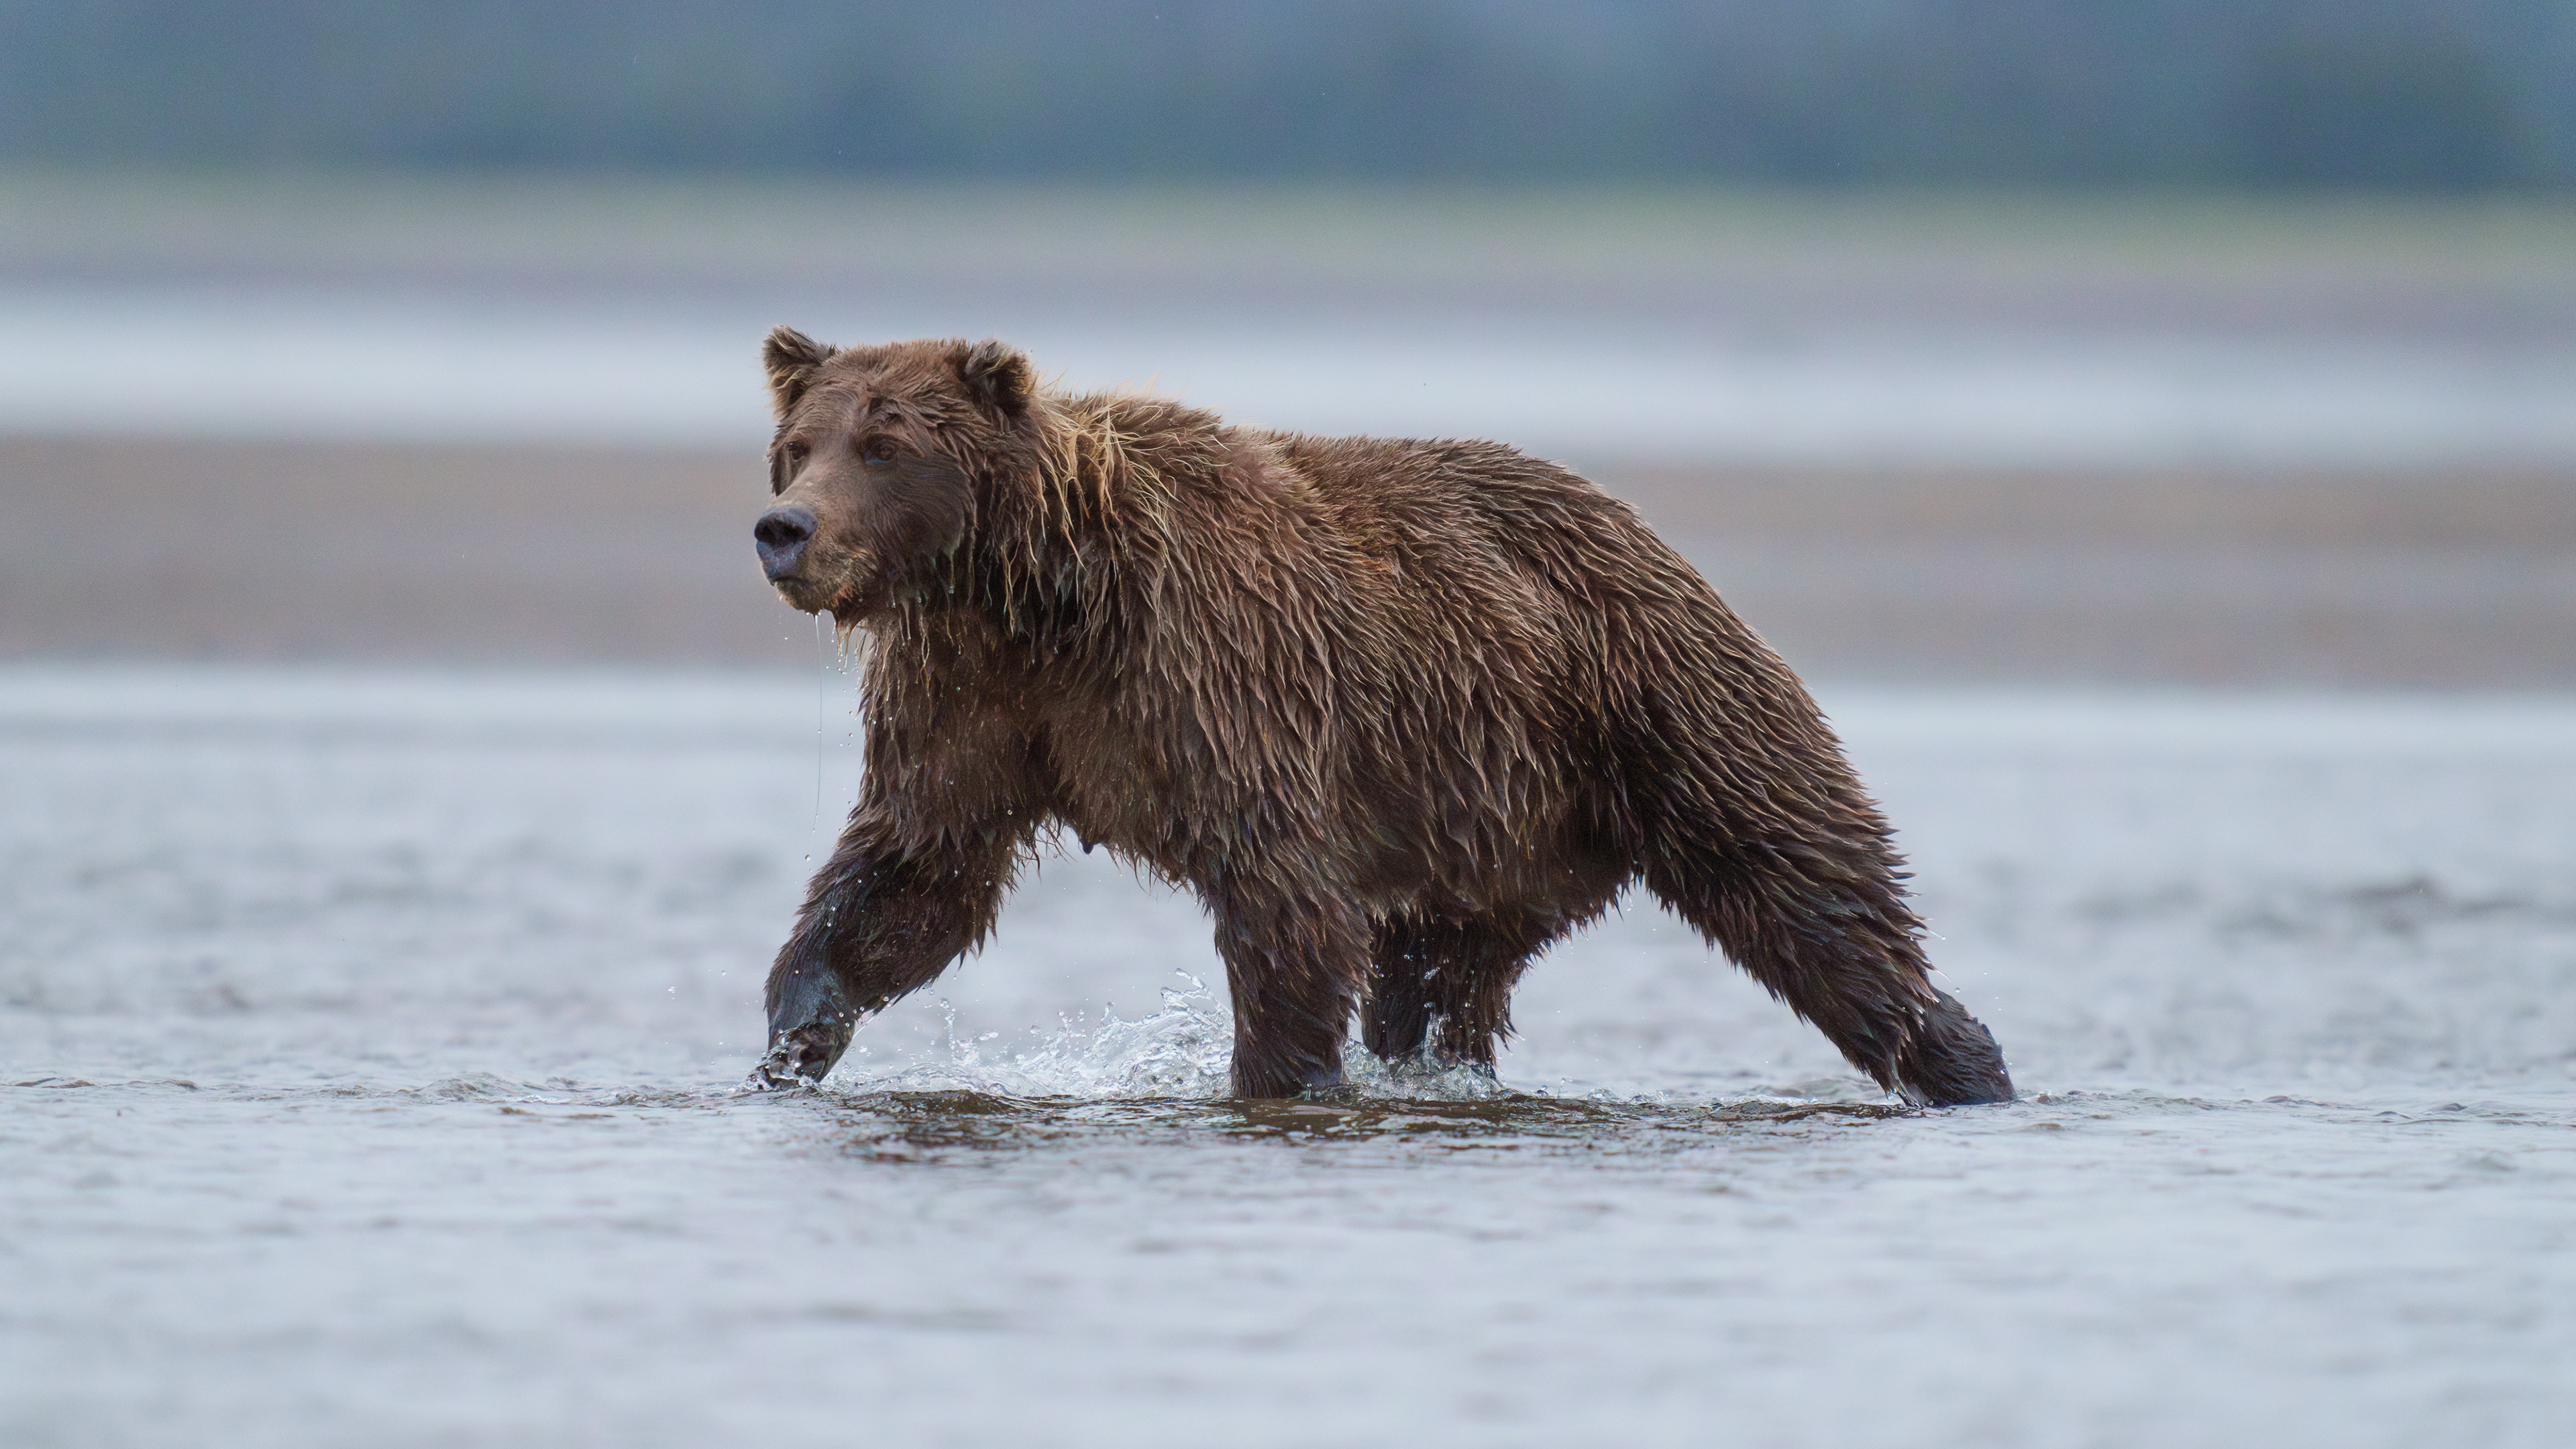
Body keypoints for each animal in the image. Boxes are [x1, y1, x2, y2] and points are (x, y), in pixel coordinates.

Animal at [744, 329, 2013, 1106]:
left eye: (885, 443)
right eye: (798, 443)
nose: (784, 529)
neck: (1036, 592)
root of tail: (1643, 528)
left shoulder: (1218, 678)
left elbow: (1283, 901)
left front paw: (1284, 1078)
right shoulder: (973, 699)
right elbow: (917, 871)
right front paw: (792, 1039)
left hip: (1665, 702)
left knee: (1812, 893)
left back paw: (1963, 1067)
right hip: (1494, 825)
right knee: (1440, 974)